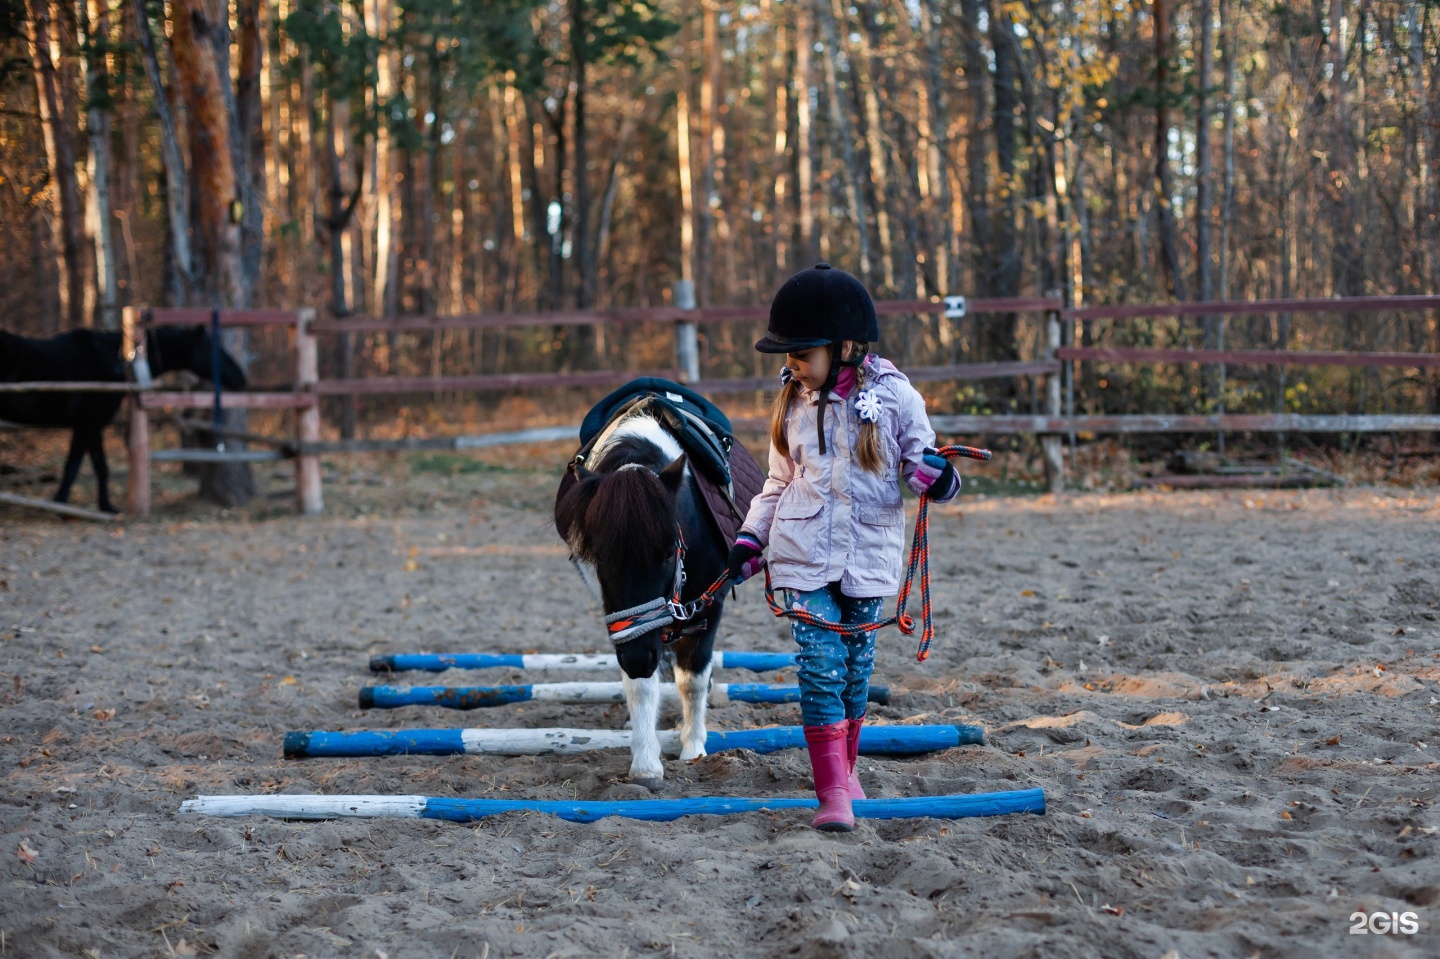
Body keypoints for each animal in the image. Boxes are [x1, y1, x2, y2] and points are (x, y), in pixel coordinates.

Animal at [0, 325, 246, 512]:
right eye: (214, 349)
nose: (241, 378)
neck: (115, 361)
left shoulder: (94, 425)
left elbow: (100, 466)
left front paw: (106, 506)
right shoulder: (87, 423)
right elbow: (74, 465)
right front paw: (60, 506)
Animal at [552, 411, 731, 783]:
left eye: (668, 552)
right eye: (599, 556)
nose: (637, 660)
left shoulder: (710, 605)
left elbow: (692, 679)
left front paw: (693, 748)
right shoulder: (627, 631)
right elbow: (642, 685)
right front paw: (646, 764)